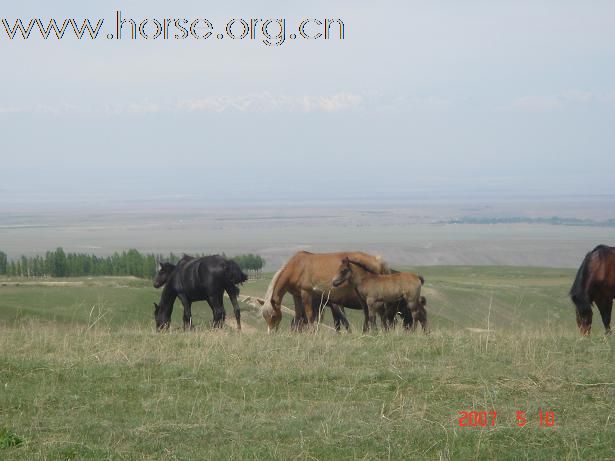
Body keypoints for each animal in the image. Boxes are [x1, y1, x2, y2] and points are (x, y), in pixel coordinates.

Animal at [264, 250, 392, 332]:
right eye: (265, 317)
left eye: (273, 316)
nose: (271, 333)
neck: (297, 265)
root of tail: (378, 261)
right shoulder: (298, 296)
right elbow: (299, 315)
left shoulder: (307, 294)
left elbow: (310, 316)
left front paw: (312, 333)